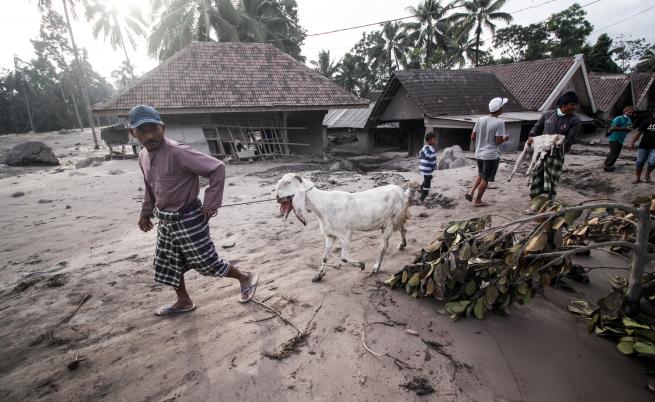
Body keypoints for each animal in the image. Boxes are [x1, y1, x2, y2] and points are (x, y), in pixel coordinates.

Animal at [276, 174, 410, 282]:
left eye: (288, 182)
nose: (277, 197)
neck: (323, 205)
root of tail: (401, 191)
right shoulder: (330, 236)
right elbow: (325, 257)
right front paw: (318, 276)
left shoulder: (345, 234)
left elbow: (344, 257)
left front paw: (362, 265)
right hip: (395, 220)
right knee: (403, 229)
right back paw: (403, 244)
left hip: (390, 223)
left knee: (385, 245)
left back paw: (376, 267)